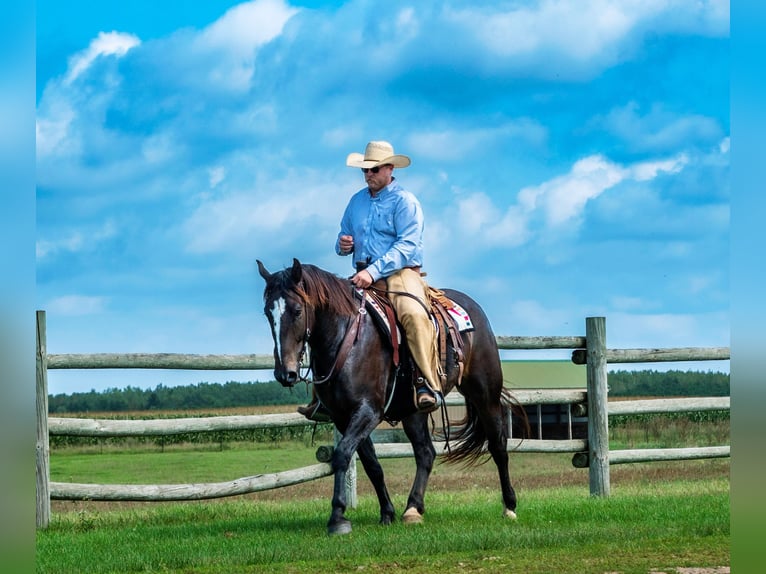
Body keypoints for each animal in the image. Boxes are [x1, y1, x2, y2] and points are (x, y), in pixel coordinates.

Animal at [255, 258, 524, 536]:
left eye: (297, 310)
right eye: (268, 313)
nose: (285, 373)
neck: (347, 340)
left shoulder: (368, 411)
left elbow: (342, 454)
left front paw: (338, 517)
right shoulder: (343, 416)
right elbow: (371, 464)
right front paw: (387, 513)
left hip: (485, 394)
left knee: (497, 446)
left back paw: (509, 506)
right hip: (414, 411)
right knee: (425, 453)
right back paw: (413, 508)